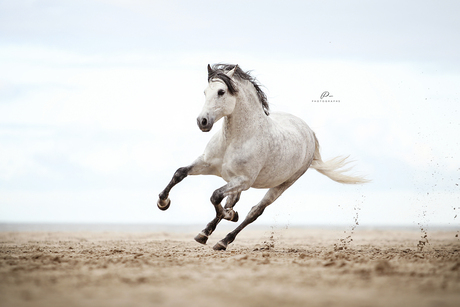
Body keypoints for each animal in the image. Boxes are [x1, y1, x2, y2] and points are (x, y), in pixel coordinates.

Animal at [156, 63, 368, 251]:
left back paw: (223, 241)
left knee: (254, 212)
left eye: (221, 92)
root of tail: (308, 132)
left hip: (282, 185)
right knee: (231, 201)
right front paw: (163, 203)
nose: (203, 121)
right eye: (205, 92)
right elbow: (180, 173)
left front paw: (229, 216)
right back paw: (205, 232)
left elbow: (215, 196)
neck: (234, 139)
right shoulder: (207, 164)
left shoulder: (244, 180)